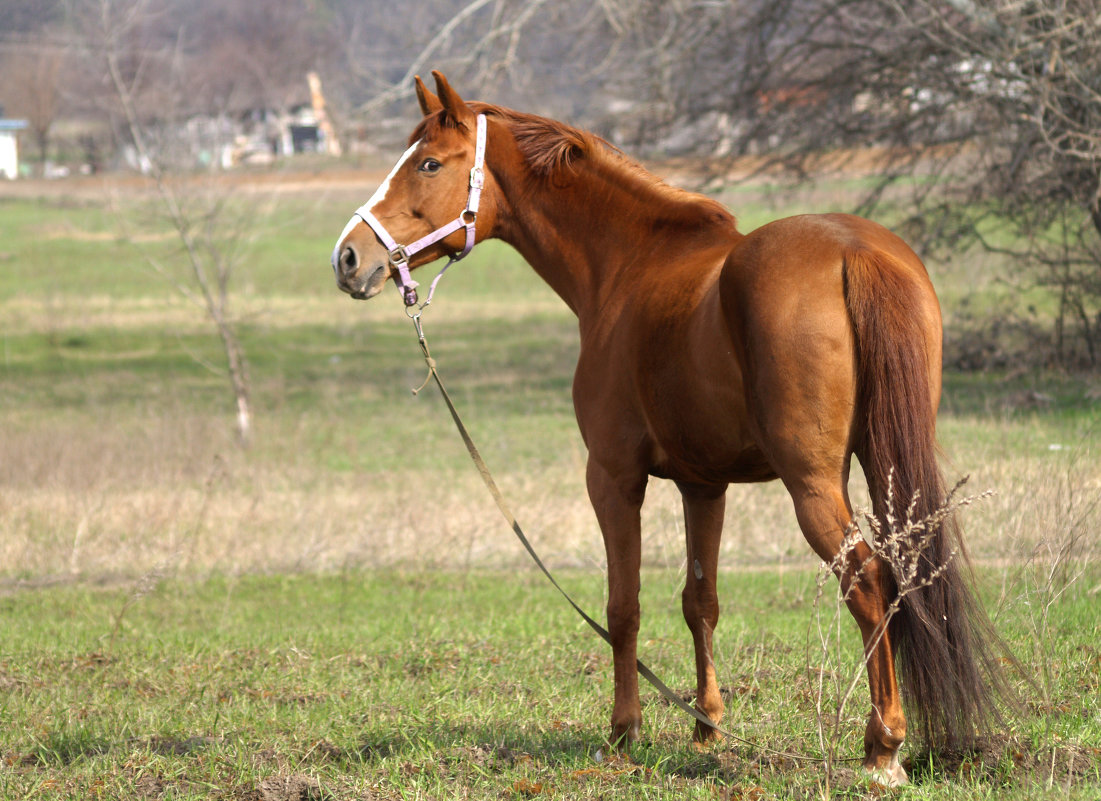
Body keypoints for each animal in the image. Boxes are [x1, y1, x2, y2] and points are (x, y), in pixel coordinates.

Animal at [328, 72, 1008, 783]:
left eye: (430, 164)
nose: (348, 258)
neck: (629, 266)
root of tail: (853, 253)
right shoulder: (702, 485)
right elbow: (699, 599)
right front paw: (707, 724)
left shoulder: (613, 478)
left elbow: (622, 608)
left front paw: (624, 731)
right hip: (888, 466)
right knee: (905, 575)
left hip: (815, 484)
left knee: (869, 579)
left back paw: (883, 745)